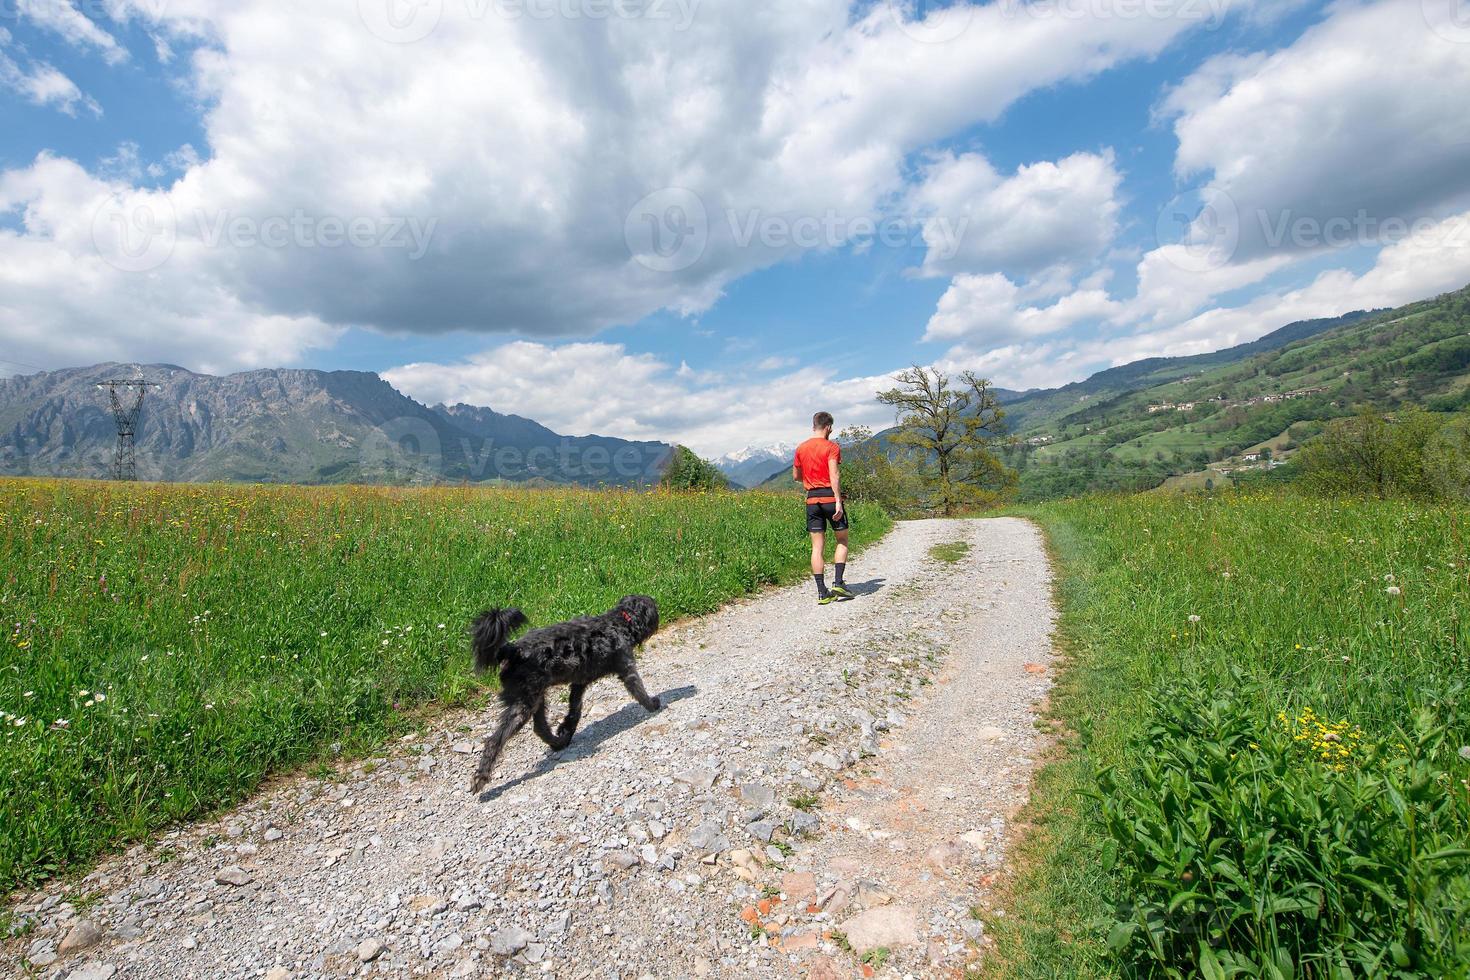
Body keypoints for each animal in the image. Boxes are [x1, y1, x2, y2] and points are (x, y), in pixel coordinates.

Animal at [470, 593, 661, 793]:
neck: (619, 622)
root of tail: (514, 651)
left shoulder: (579, 683)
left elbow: (574, 711)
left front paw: (566, 728)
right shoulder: (627, 668)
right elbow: (639, 690)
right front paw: (653, 704)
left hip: (537, 697)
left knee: (540, 728)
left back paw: (558, 742)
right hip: (524, 704)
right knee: (495, 740)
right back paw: (481, 776)